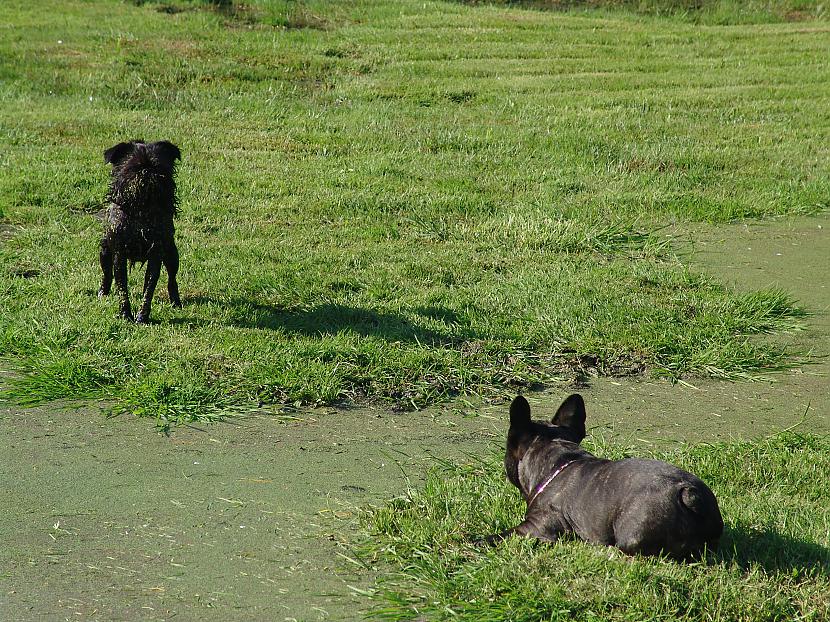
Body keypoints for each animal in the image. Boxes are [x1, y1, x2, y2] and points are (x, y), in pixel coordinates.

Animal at [98, 140, 183, 326]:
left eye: (159, 168)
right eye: (132, 167)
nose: (146, 171)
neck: (142, 212)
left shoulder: (156, 254)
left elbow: (149, 287)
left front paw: (142, 317)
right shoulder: (119, 255)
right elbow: (122, 286)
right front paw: (125, 314)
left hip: (172, 254)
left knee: (171, 279)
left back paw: (176, 302)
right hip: (104, 251)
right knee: (107, 274)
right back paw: (102, 293)